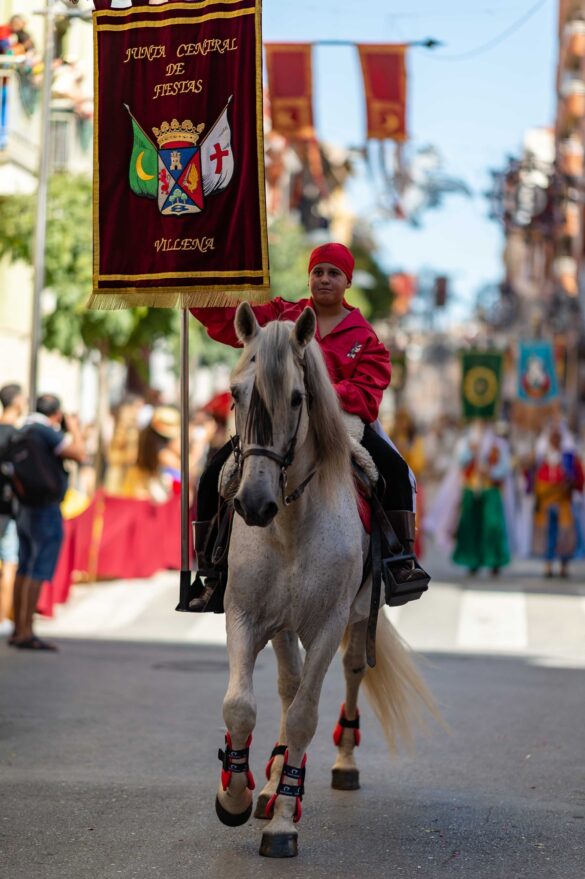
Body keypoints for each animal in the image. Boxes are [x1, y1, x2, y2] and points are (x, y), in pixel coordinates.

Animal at [214, 302, 436, 858]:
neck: (291, 523)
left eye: (297, 398)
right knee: (287, 686)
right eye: (235, 392)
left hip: (356, 618)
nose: (254, 504)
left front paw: (282, 825)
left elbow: (303, 717)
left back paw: (340, 765)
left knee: (350, 672)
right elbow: (241, 707)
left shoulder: (327, 624)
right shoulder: (246, 615)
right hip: (282, 625)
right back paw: (269, 782)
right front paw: (237, 796)